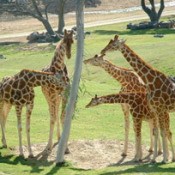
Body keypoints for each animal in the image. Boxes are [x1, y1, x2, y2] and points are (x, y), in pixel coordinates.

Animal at [100, 35, 175, 163]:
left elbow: (161, 131)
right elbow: (155, 131)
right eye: (109, 42)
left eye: (114, 44)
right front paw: (155, 157)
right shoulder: (154, 109)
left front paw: (164, 158)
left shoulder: (159, 109)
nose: (103, 50)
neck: (150, 81)